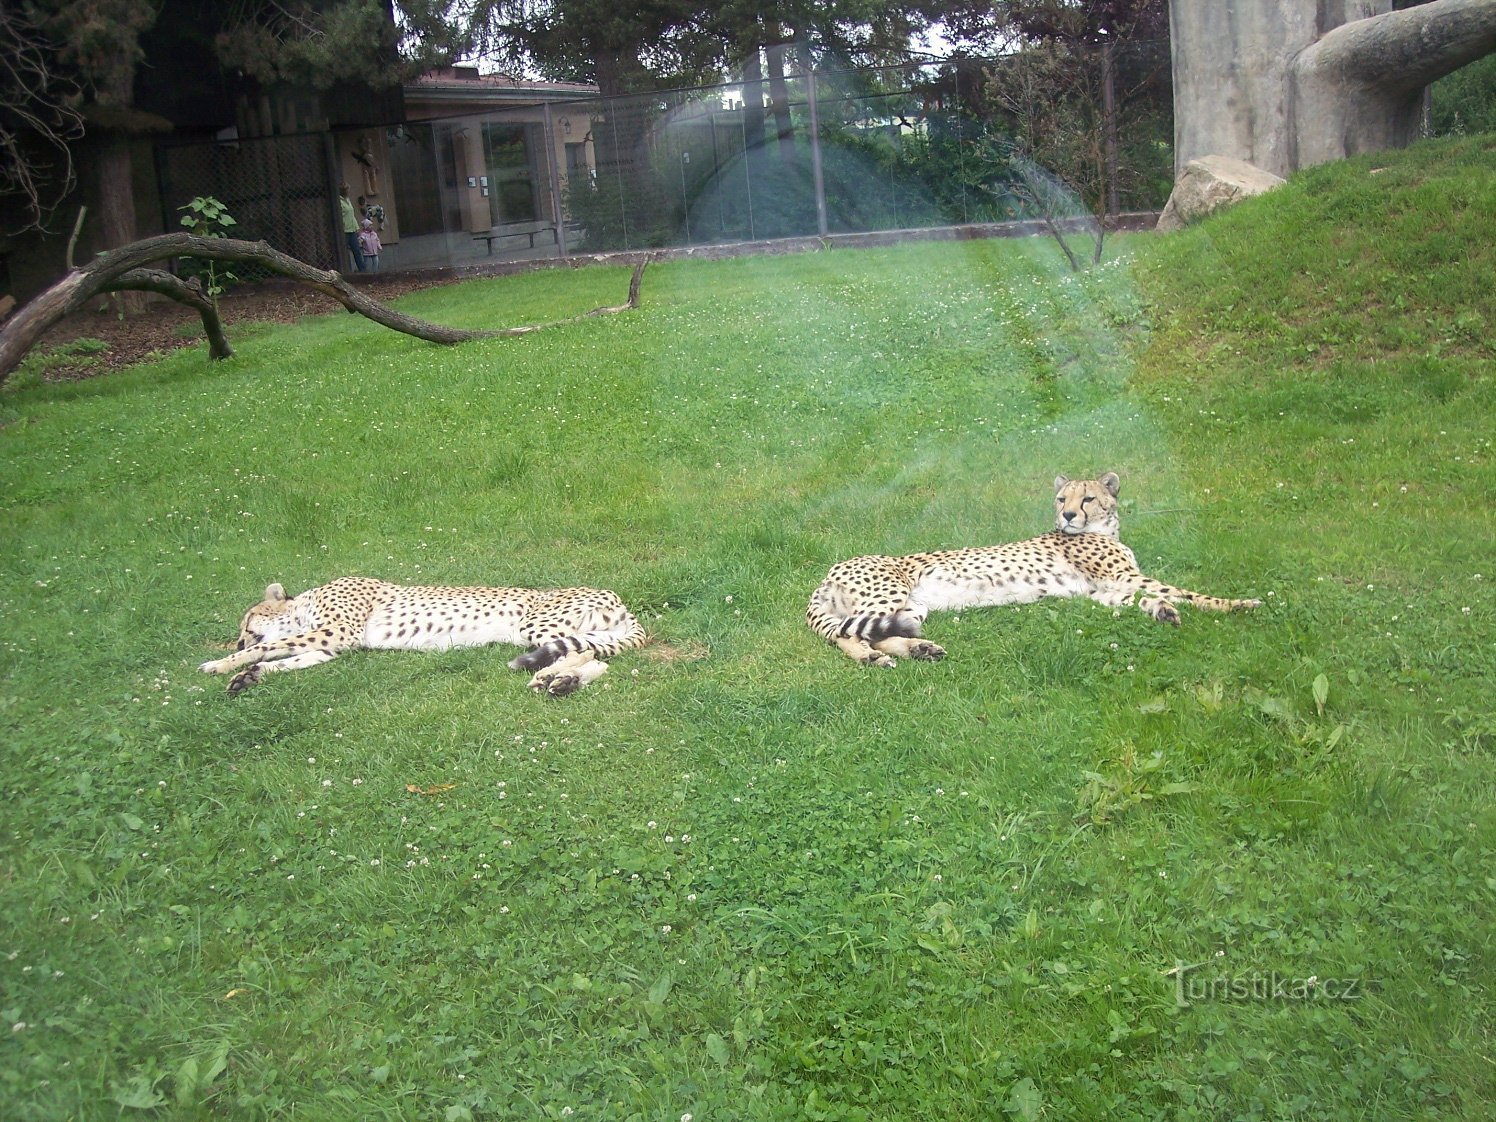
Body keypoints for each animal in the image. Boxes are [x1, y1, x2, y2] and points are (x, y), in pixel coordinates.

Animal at [197, 583, 643, 700]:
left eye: (246, 621)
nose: (236, 643)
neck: (303, 604)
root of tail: (619, 599)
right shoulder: (328, 646)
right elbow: (284, 660)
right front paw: (248, 675)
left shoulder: (337, 634)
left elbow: (267, 645)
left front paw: (220, 664)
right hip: (580, 631)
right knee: (595, 655)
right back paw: (559, 680)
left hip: (536, 625)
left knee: (595, 657)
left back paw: (554, 679)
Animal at [807, 475, 1262, 667]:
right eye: (1062, 498)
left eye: (1088, 498)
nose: (1068, 514)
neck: (1103, 529)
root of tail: (831, 569)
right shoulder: (1126, 579)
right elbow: (1187, 592)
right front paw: (1239, 604)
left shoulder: (1104, 590)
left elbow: (1145, 600)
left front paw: (1162, 612)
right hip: (889, 596)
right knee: (846, 635)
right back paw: (875, 657)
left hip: (910, 609)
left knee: (865, 634)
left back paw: (912, 650)